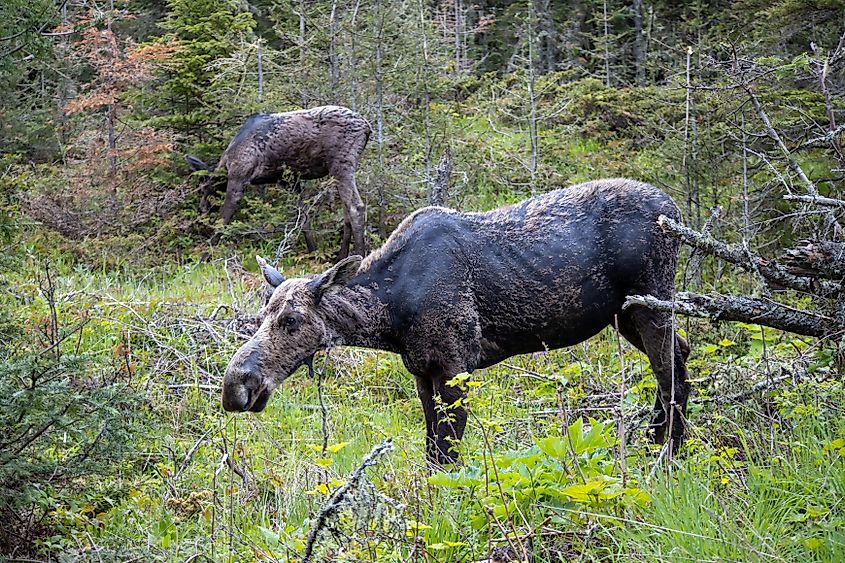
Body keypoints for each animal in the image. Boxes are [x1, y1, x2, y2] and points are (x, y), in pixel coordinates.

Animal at [186, 105, 371, 257]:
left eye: (203, 188)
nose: (201, 208)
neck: (226, 162)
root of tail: (367, 128)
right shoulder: (289, 181)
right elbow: (302, 217)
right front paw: (313, 251)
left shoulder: (239, 176)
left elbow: (222, 221)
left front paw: (204, 257)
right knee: (346, 211)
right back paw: (341, 257)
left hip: (341, 164)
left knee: (356, 208)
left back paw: (360, 256)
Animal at [221, 179, 691, 465]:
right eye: (262, 314)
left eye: (292, 320)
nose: (235, 387)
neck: (389, 315)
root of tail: (676, 210)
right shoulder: (421, 371)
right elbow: (433, 450)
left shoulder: (454, 366)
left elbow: (447, 453)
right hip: (625, 314)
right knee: (680, 355)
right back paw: (657, 443)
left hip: (651, 301)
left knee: (668, 370)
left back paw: (667, 453)